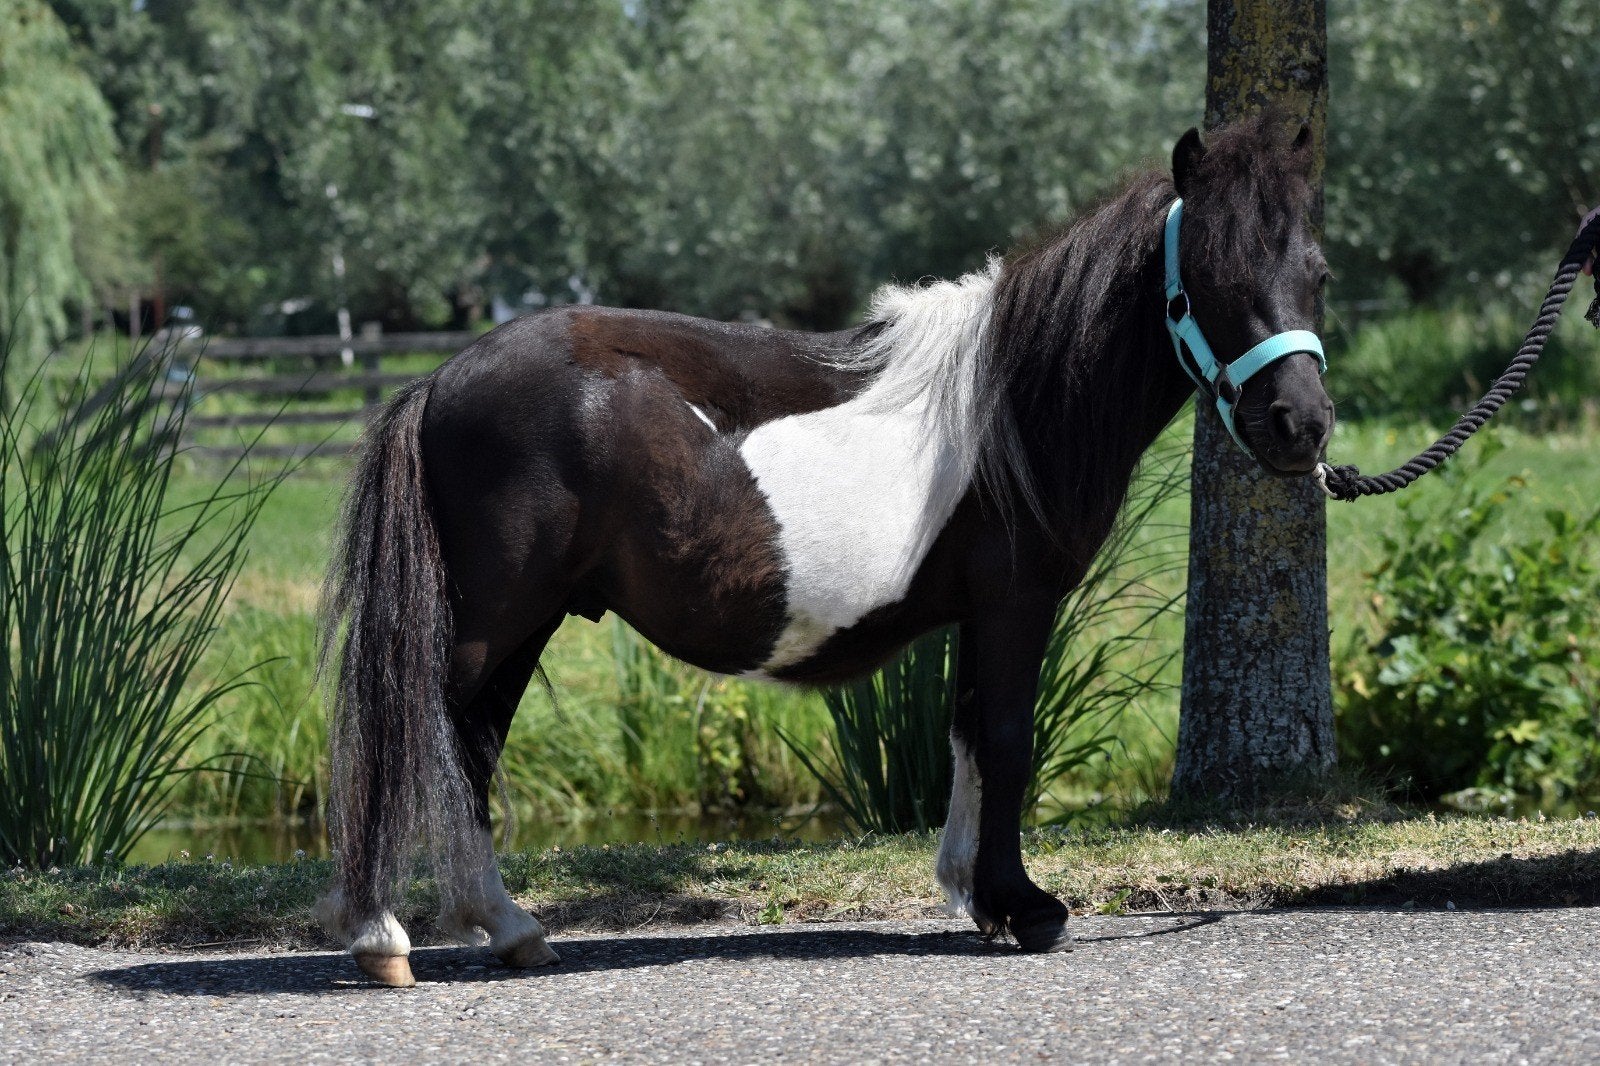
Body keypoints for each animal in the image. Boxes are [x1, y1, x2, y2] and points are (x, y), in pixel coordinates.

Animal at [316, 113, 1335, 987]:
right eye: (1209, 274)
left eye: (1317, 271)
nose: (1302, 425)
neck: (1009, 404)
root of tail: (441, 379)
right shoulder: (1016, 602)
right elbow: (1008, 741)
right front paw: (1027, 907)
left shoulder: (980, 613)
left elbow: (968, 736)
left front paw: (976, 893)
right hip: (490, 624)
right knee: (410, 740)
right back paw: (384, 936)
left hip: (518, 627)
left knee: (469, 747)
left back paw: (508, 928)